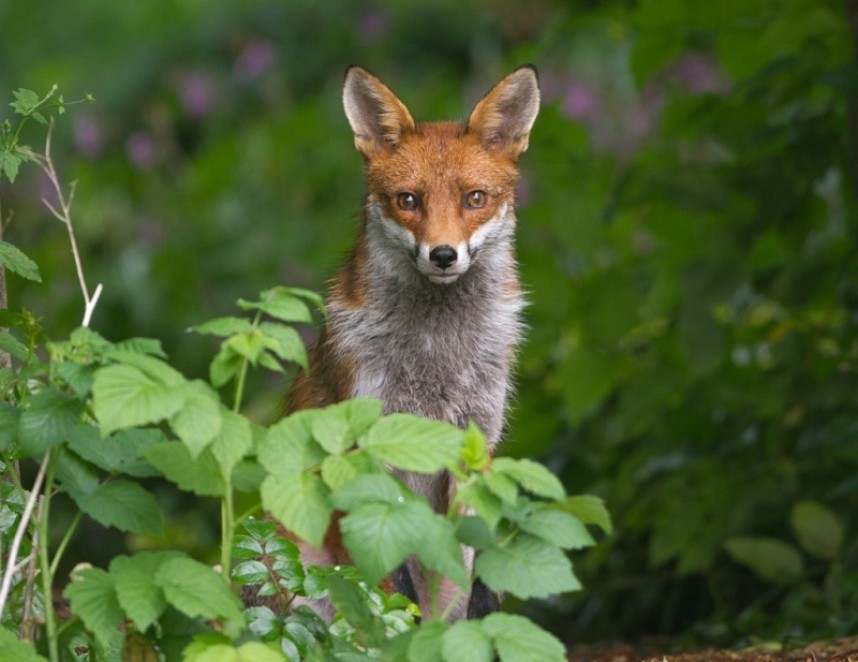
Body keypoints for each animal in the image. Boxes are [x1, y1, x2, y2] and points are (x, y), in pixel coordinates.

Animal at [273, 65, 540, 622]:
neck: (438, 352)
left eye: (474, 198)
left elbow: (472, 563)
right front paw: (402, 630)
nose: (443, 255)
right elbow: (393, 582)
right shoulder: (369, 445)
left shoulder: (475, 440)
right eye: (409, 200)